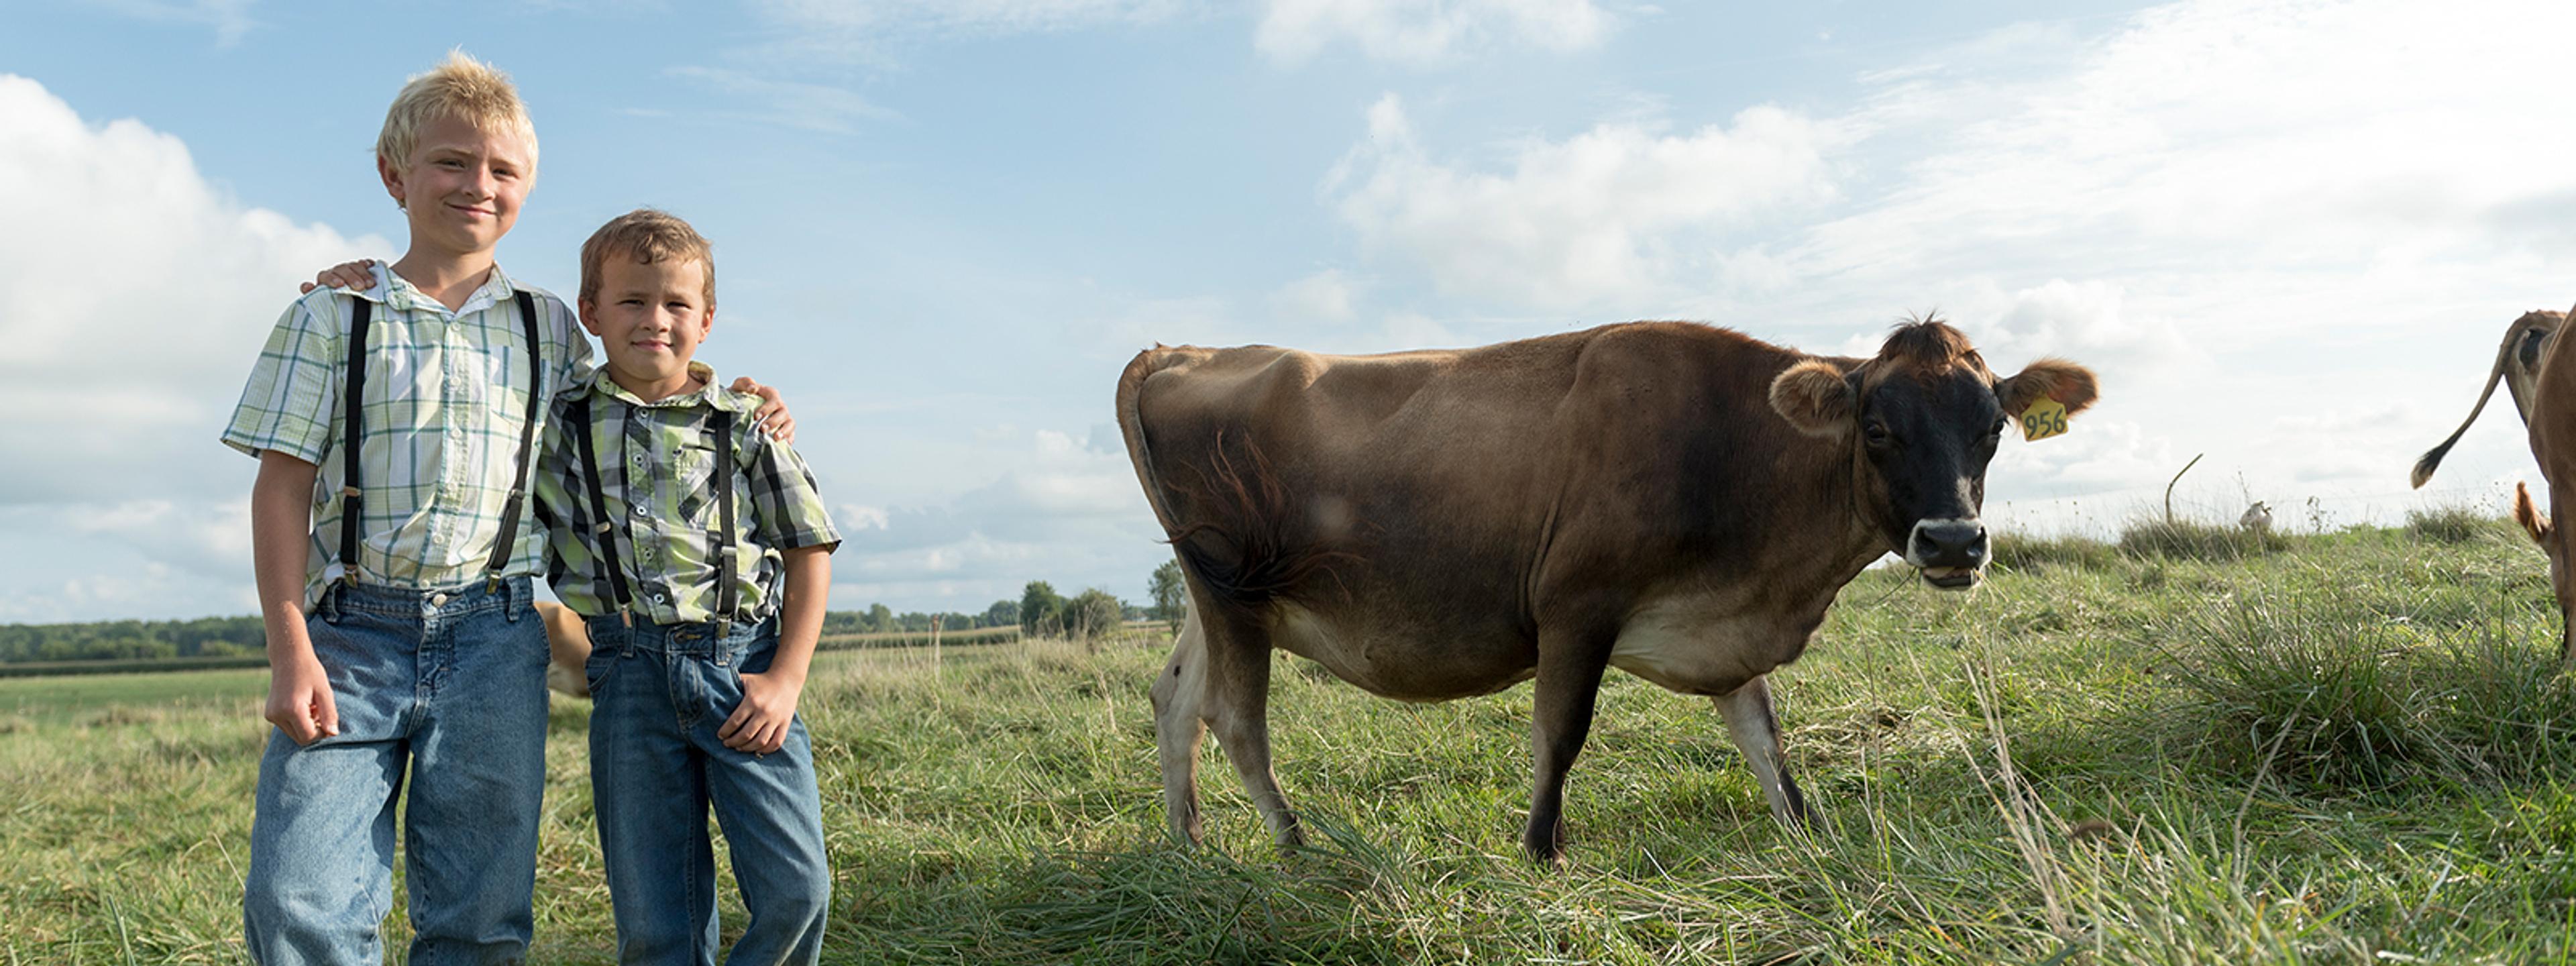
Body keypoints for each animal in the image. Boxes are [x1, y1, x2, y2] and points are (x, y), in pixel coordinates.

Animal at [1112, 318, 2092, 860]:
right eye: (1878, 427)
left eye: (1993, 426)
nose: (1954, 540)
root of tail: (1180, 350)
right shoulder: (1575, 606)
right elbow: (1561, 736)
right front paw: (1541, 852)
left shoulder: (1726, 627)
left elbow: (1765, 742)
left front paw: (1807, 835)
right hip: (1232, 595)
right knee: (1234, 720)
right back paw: (1293, 849)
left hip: (1215, 597)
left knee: (1174, 700)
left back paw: (1191, 849)